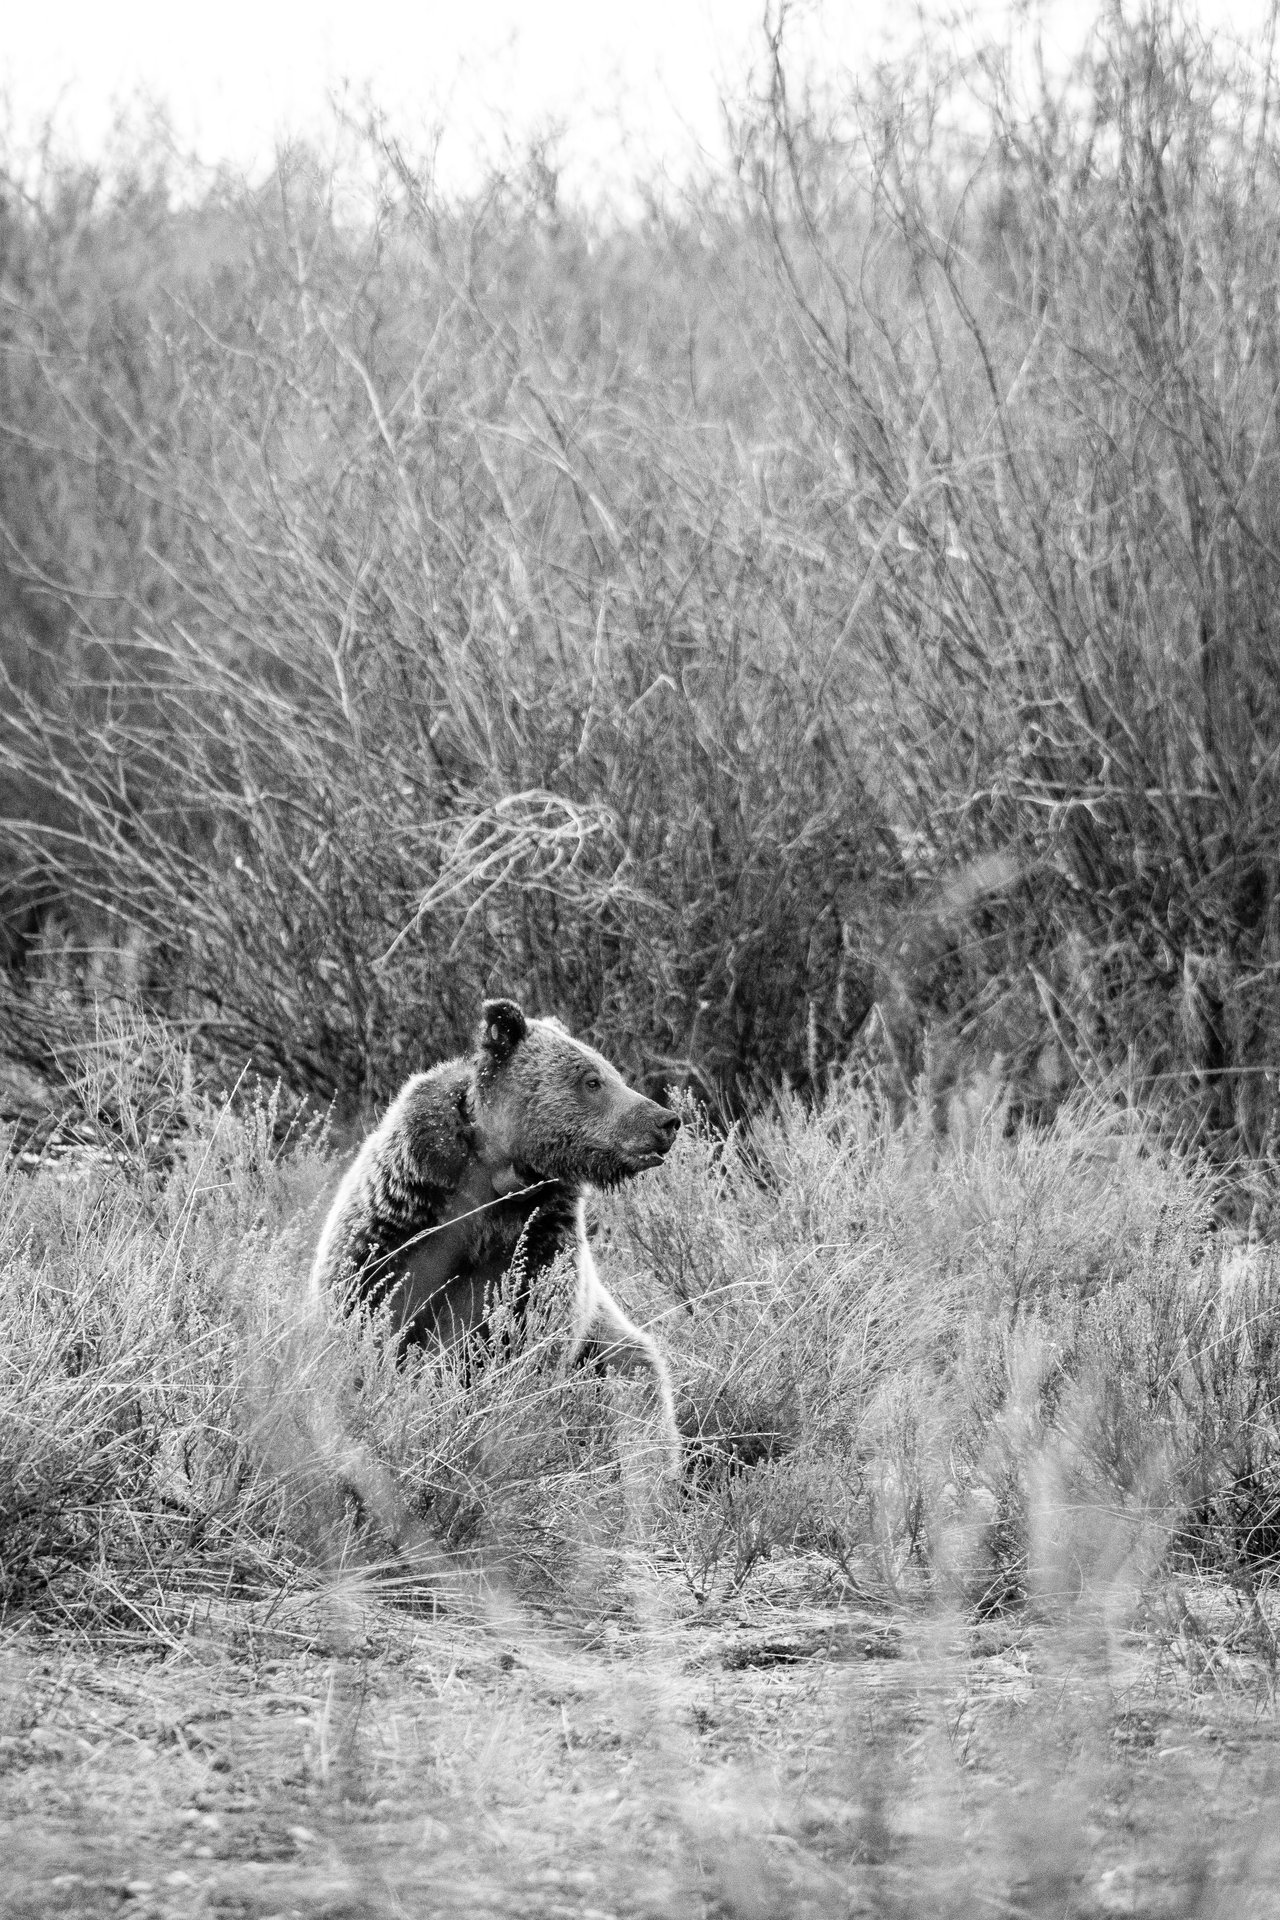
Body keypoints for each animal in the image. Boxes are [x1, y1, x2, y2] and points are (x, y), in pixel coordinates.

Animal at [309, 998, 683, 1490]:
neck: (500, 1179)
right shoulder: (402, 1217)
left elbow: (527, 1336)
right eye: (592, 1080)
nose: (666, 1120)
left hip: (608, 1349)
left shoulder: (540, 1241)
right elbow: (369, 1313)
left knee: (639, 1402)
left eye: (612, 1073)